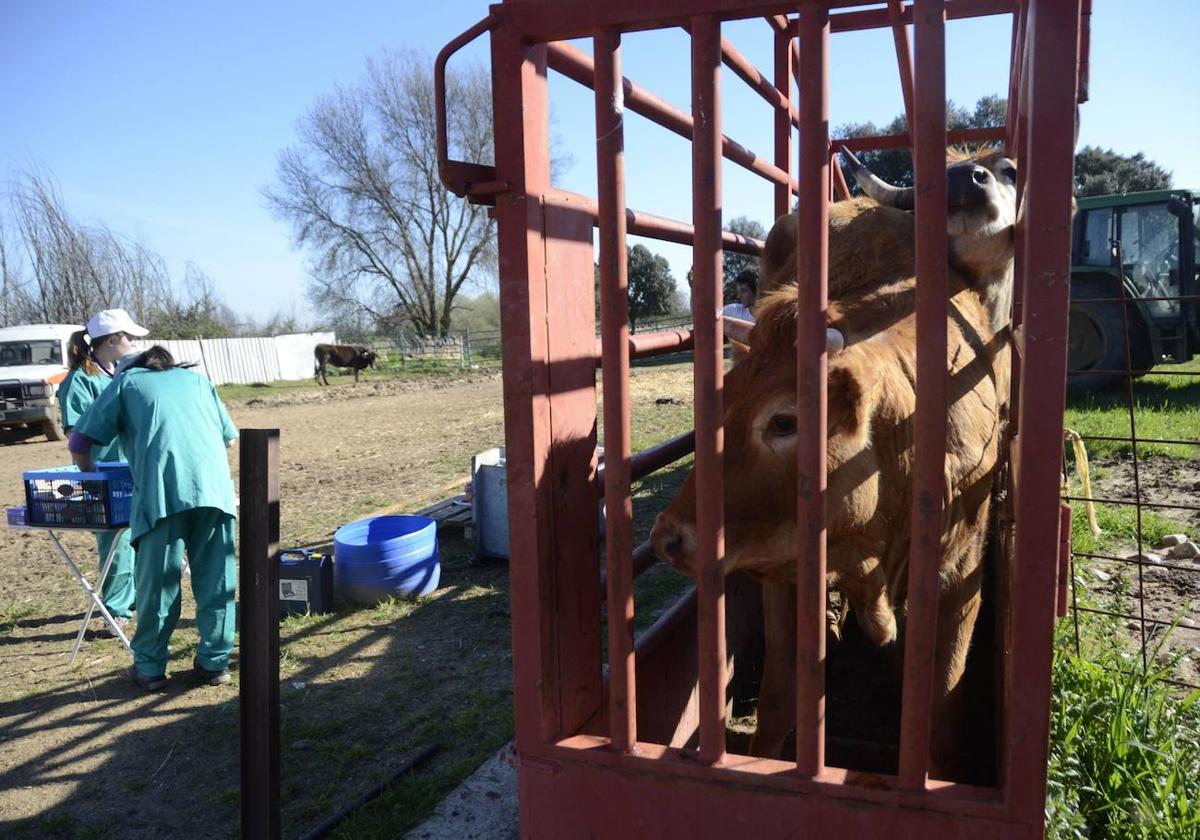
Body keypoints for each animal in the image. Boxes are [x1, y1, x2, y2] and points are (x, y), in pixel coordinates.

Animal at [652, 147, 1017, 772]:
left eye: (784, 421)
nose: (668, 537)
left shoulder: (960, 575)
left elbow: (941, 700)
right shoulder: (783, 573)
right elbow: (780, 693)